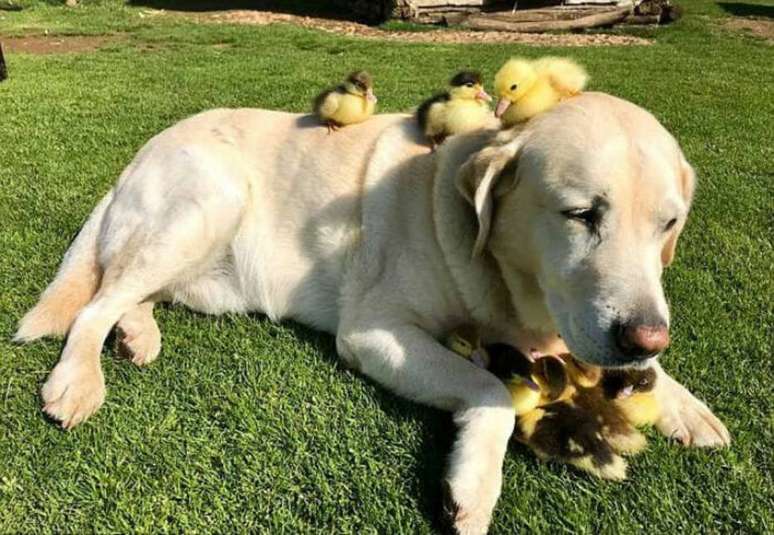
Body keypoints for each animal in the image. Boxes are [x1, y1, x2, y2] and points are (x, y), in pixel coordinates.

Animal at [19, 93, 732, 535]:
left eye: (669, 225)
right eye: (581, 214)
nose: (644, 337)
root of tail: (137, 158)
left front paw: (685, 405)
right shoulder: (375, 331)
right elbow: (491, 389)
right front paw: (472, 486)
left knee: (129, 295)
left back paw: (137, 333)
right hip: (210, 199)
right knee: (95, 304)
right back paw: (78, 381)